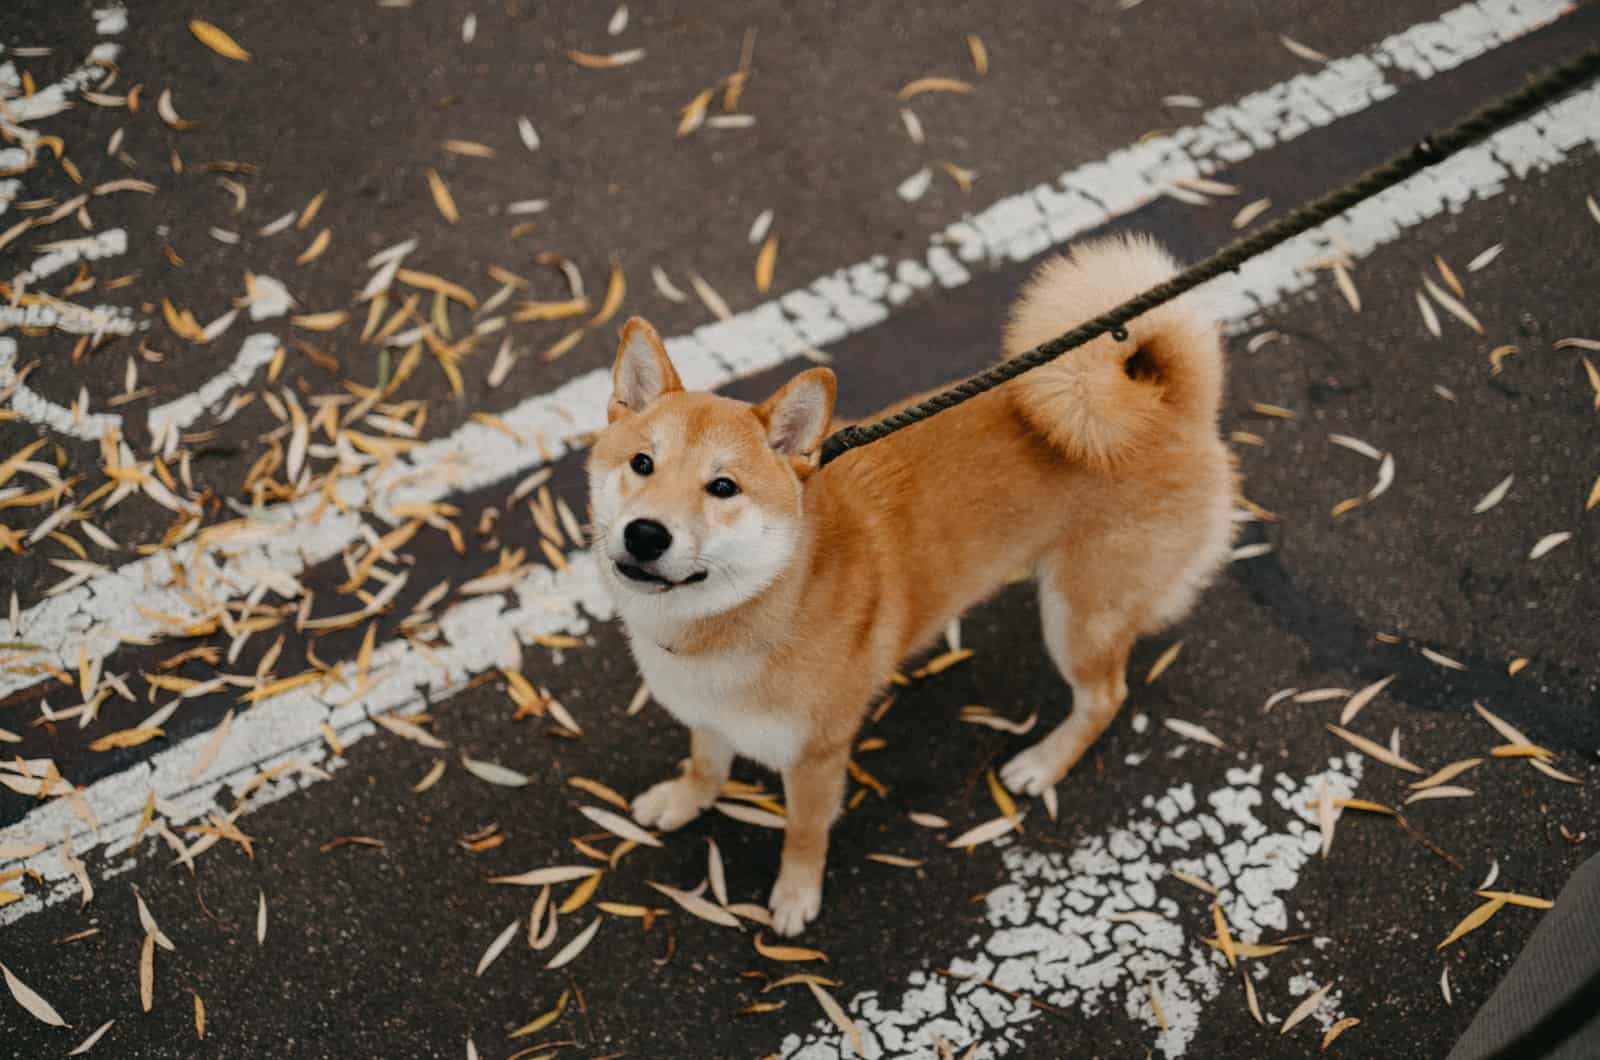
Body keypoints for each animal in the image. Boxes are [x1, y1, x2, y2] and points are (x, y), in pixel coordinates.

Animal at [588, 236, 1235, 935]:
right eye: (642, 464)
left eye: (723, 487)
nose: (646, 535)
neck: (750, 611)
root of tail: (1167, 406)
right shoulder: (709, 719)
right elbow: (706, 764)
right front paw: (686, 799)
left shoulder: (817, 757)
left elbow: (804, 833)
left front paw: (795, 894)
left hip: (1078, 618)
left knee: (1105, 698)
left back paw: (1044, 763)